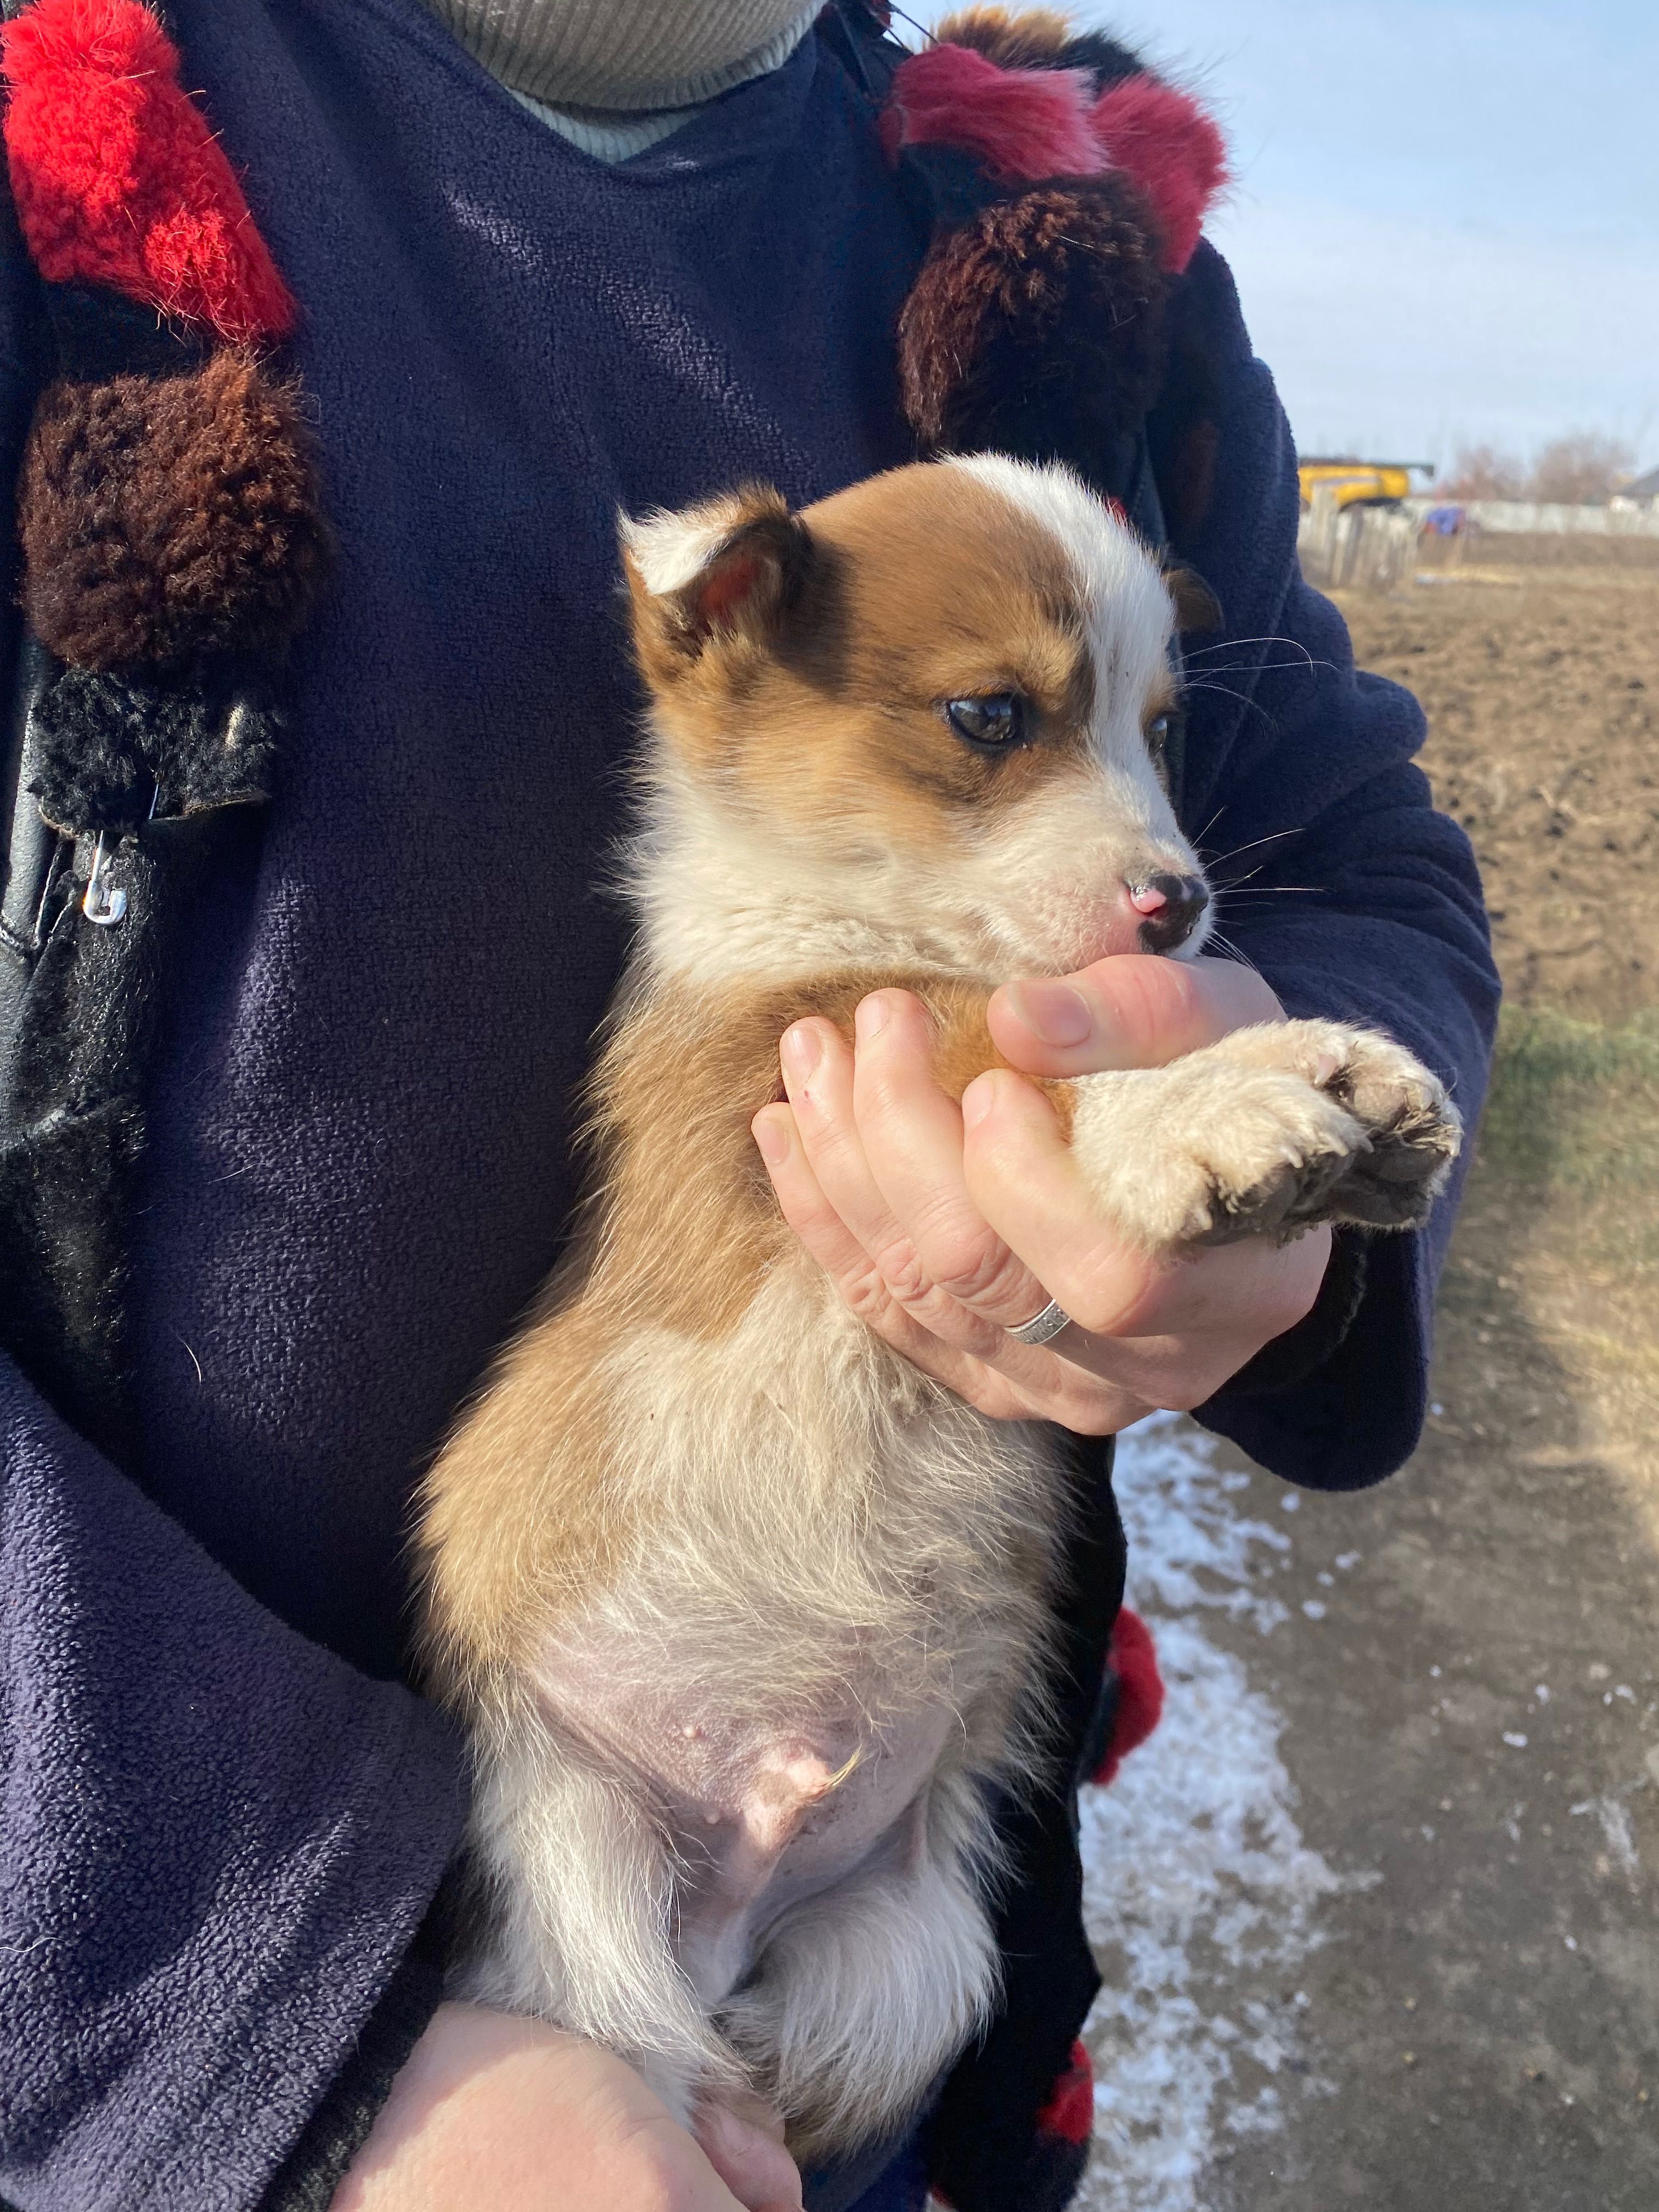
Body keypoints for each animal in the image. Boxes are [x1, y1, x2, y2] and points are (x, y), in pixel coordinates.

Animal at [418, 449, 1469, 2159]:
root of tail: (733, 1899)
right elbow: (1009, 1058)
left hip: (910, 1959)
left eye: (1161, 727)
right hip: (577, 1880)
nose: (1181, 906)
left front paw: (1324, 1065)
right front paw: (1205, 1108)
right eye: (990, 715)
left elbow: (1026, 1034)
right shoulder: (774, 1085)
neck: (852, 930)